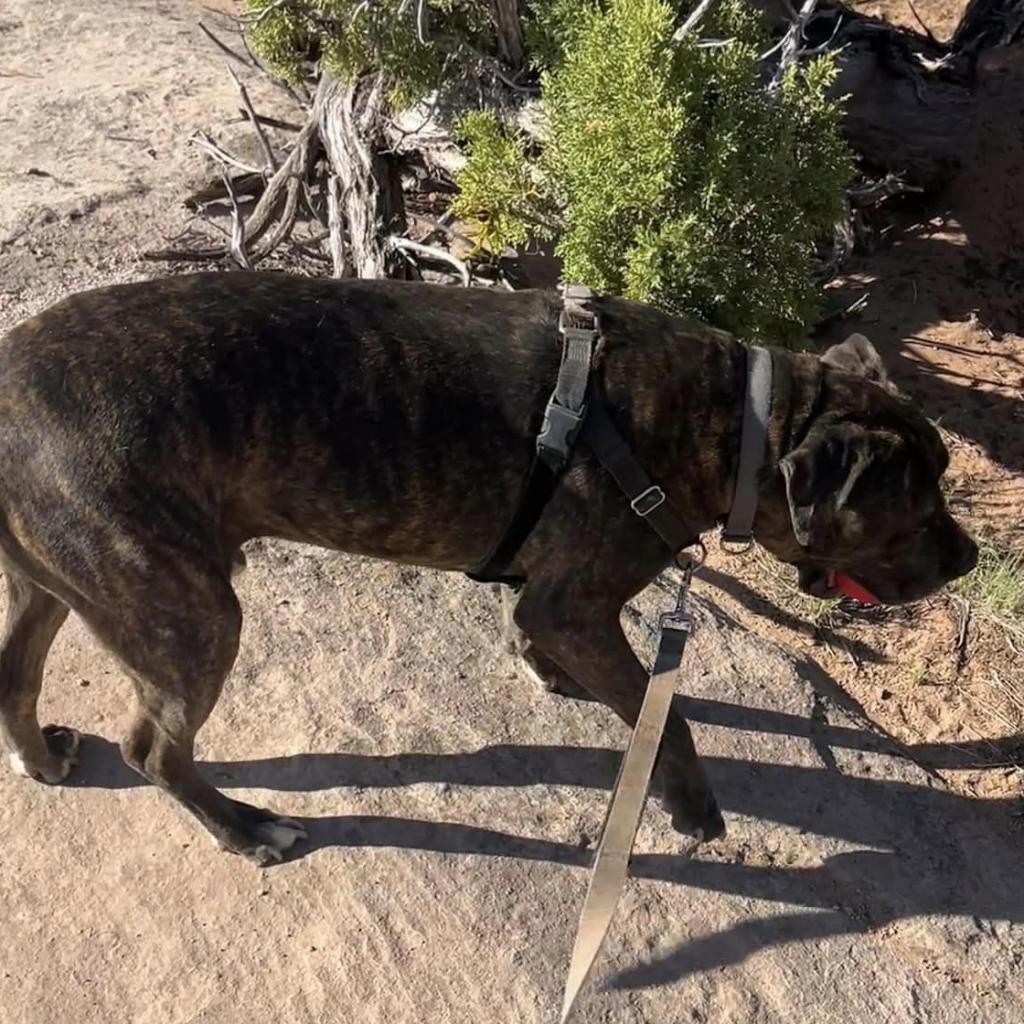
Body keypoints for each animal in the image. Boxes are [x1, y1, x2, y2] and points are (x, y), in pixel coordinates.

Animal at [0, 274, 974, 864]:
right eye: (919, 508)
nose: (967, 558)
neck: (740, 423)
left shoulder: (552, 601)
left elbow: (542, 635)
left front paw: (547, 673)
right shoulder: (575, 605)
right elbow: (668, 718)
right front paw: (693, 808)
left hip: (56, 583)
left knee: (16, 672)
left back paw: (41, 758)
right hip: (188, 612)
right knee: (153, 747)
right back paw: (244, 828)